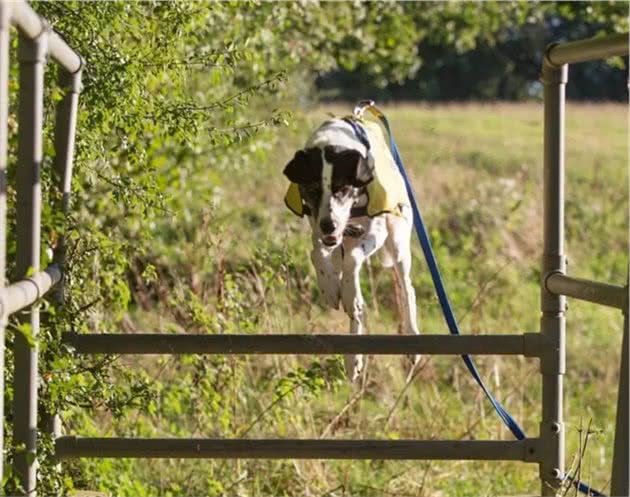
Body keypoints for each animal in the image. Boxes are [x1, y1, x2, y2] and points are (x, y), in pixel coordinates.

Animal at [286, 115, 422, 380]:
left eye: (342, 188)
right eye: (312, 189)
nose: (329, 225)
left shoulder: (375, 232)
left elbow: (353, 260)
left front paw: (347, 289)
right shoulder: (318, 227)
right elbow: (316, 251)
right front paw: (329, 286)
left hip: (398, 244)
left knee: (406, 288)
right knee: (356, 306)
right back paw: (353, 358)